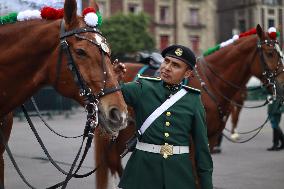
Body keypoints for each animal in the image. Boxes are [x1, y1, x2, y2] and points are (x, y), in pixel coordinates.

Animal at [94, 25, 284, 189]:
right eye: (270, 53)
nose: (282, 85)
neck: (211, 83)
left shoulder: (209, 137)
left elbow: (202, 171)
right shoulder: (192, 139)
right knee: (113, 162)